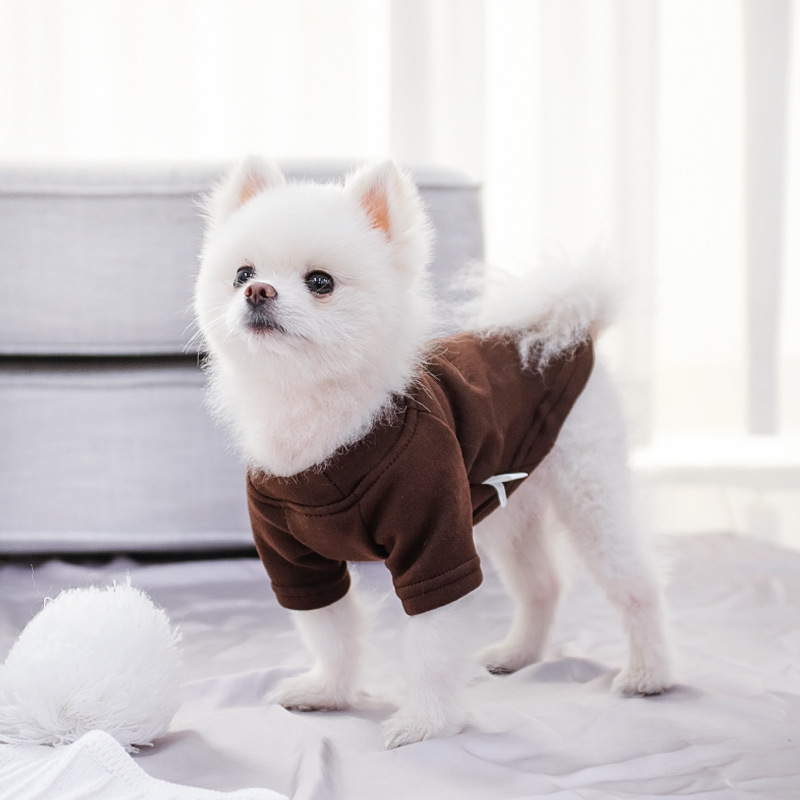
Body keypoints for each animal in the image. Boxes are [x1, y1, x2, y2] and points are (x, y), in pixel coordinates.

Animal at [193, 158, 672, 748]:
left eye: (320, 282)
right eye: (242, 273)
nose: (258, 291)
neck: (322, 421)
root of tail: (570, 330)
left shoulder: (434, 540)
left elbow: (430, 648)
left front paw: (425, 723)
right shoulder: (295, 559)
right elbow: (331, 632)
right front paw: (328, 691)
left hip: (589, 492)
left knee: (636, 581)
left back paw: (649, 672)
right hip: (506, 511)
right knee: (543, 584)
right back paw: (519, 654)